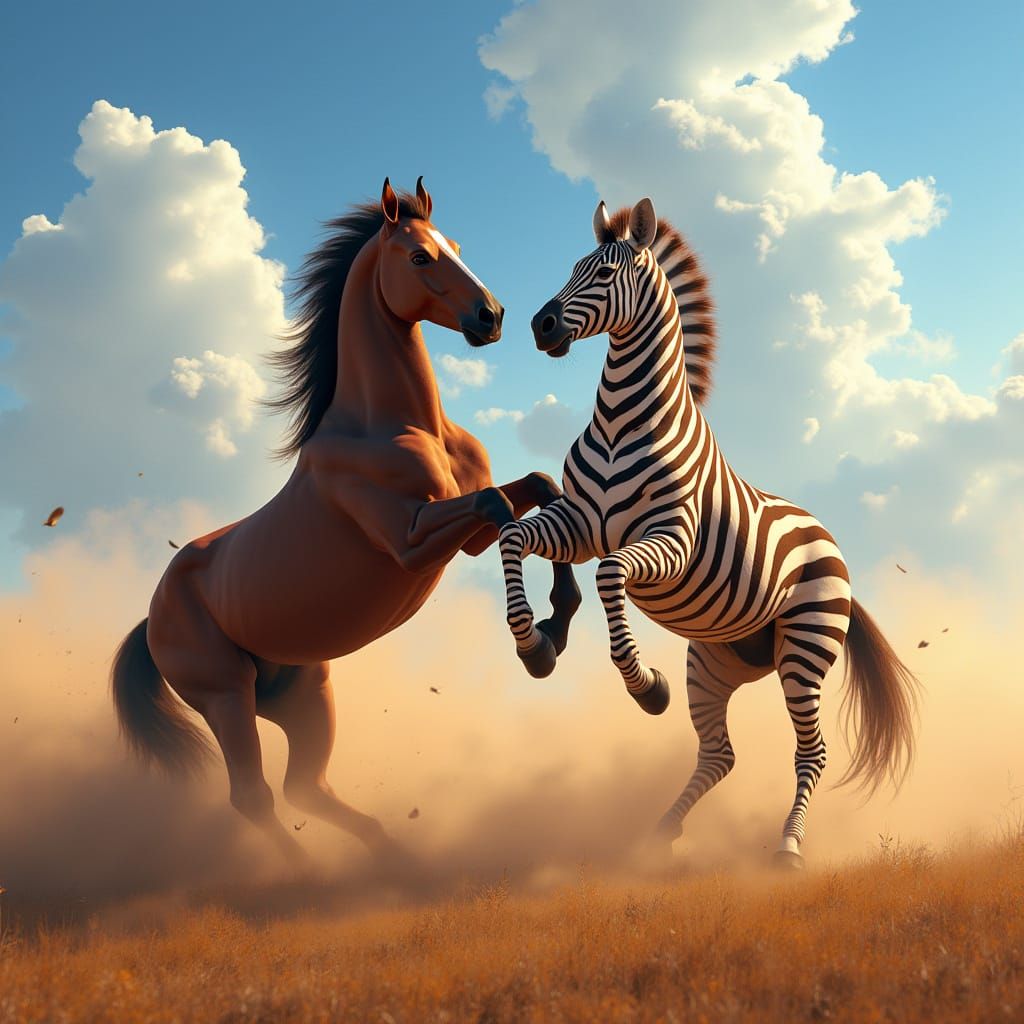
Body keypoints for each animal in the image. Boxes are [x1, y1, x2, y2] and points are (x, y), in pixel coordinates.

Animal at [111, 179, 581, 867]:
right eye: (419, 257)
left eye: (456, 245)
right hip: (225, 698)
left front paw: (557, 624)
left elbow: (540, 491)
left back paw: (396, 865)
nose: (491, 317)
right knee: (255, 796)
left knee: (306, 786)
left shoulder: (465, 539)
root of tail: (152, 616)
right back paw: (316, 877)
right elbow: (499, 506)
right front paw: (537, 649)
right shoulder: (413, 542)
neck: (394, 425)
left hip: (302, 693)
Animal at [496, 197, 918, 867]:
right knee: (720, 753)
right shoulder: (581, 523)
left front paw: (643, 686)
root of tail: (829, 540)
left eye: (605, 273)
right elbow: (513, 537)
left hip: (804, 651)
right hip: (715, 661)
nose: (540, 325)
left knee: (812, 752)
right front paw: (534, 647)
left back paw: (788, 848)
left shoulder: (669, 538)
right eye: (572, 267)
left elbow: (609, 574)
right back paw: (658, 835)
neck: (621, 424)